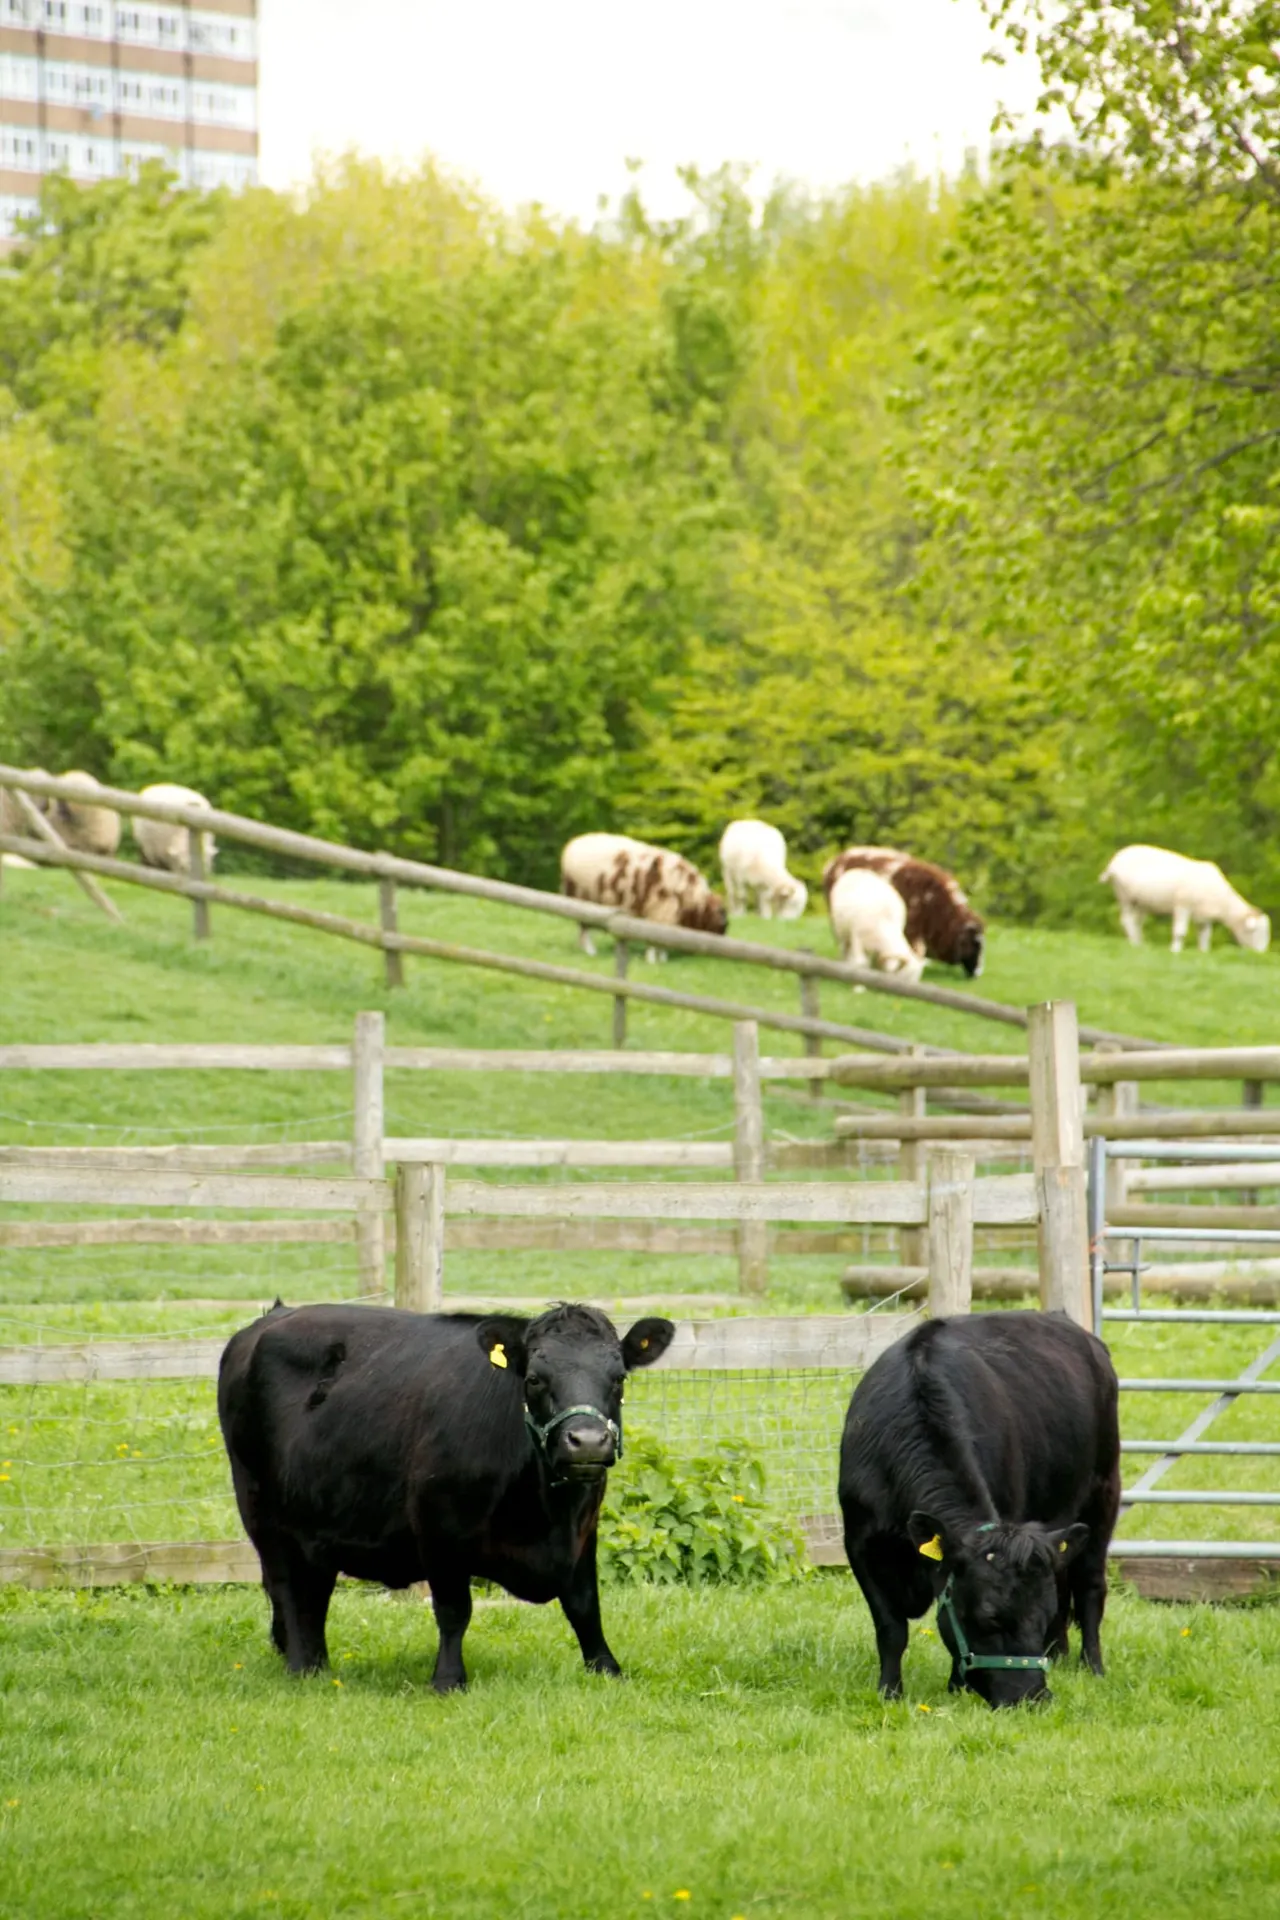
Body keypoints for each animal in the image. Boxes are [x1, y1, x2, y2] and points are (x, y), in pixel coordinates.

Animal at [218, 1300, 676, 1692]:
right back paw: (300, 1666)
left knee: (313, 1593)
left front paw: (606, 1668)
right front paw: (448, 1679)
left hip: (317, 1524)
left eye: (618, 1377)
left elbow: (584, 1604)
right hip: (261, 1512)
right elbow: (455, 1610)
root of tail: (272, 1317)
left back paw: (317, 1665)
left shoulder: (584, 1526)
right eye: (534, 1378)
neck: (546, 1514)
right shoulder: (438, 1527)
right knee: (286, 1587)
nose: (587, 1442)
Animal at [560, 832, 728, 962]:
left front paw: (661, 958)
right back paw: (590, 950)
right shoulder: (661, 914)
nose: (723, 936)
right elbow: (655, 941)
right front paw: (654, 960)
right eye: (721, 921)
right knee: (584, 928)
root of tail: (571, 845)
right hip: (582, 899)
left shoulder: (663, 918)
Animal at [839, 1311, 1120, 1708]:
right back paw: (1059, 1653)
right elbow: (891, 1628)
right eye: (989, 1617)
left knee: (1090, 1586)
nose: (1033, 1697)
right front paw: (890, 1692)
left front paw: (957, 1687)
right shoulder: (861, 1544)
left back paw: (1092, 1667)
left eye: (1039, 1615)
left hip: (1103, 1493)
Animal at [1100, 844, 1270, 953]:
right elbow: (1180, 932)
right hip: (1124, 896)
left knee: (1136, 922)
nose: (1261, 954)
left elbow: (1205, 936)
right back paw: (1134, 944)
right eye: (1256, 932)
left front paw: (1203, 953)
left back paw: (1140, 943)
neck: (1223, 903)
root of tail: (1113, 862)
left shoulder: (1203, 916)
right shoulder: (1183, 906)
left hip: (1140, 902)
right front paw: (1175, 951)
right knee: (1127, 920)